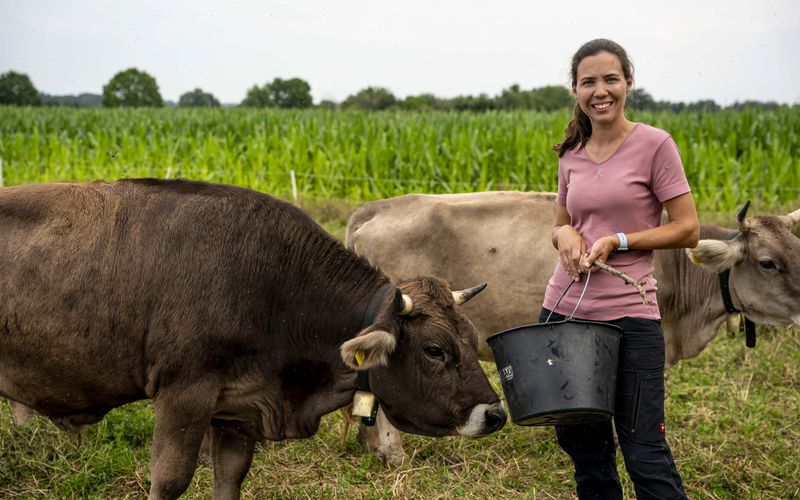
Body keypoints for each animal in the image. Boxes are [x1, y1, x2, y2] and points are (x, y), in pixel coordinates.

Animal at [0, 181, 504, 500]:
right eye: (435, 350)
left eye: (471, 337)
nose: (496, 414)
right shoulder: (184, 396)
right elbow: (169, 481)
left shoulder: (237, 413)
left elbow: (229, 481)